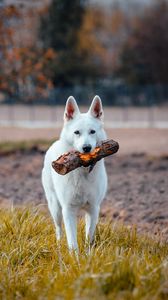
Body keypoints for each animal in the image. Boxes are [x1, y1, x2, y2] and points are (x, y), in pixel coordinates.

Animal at [42, 96, 107, 251]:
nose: (86, 148)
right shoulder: (68, 210)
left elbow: (89, 238)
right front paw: (75, 257)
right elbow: (72, 242)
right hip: (55, 208)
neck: (82, 171)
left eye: (92, 131)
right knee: (58, 229)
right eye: (77, 132)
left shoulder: (93, 209)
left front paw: (88, 254)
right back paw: (59, 246)